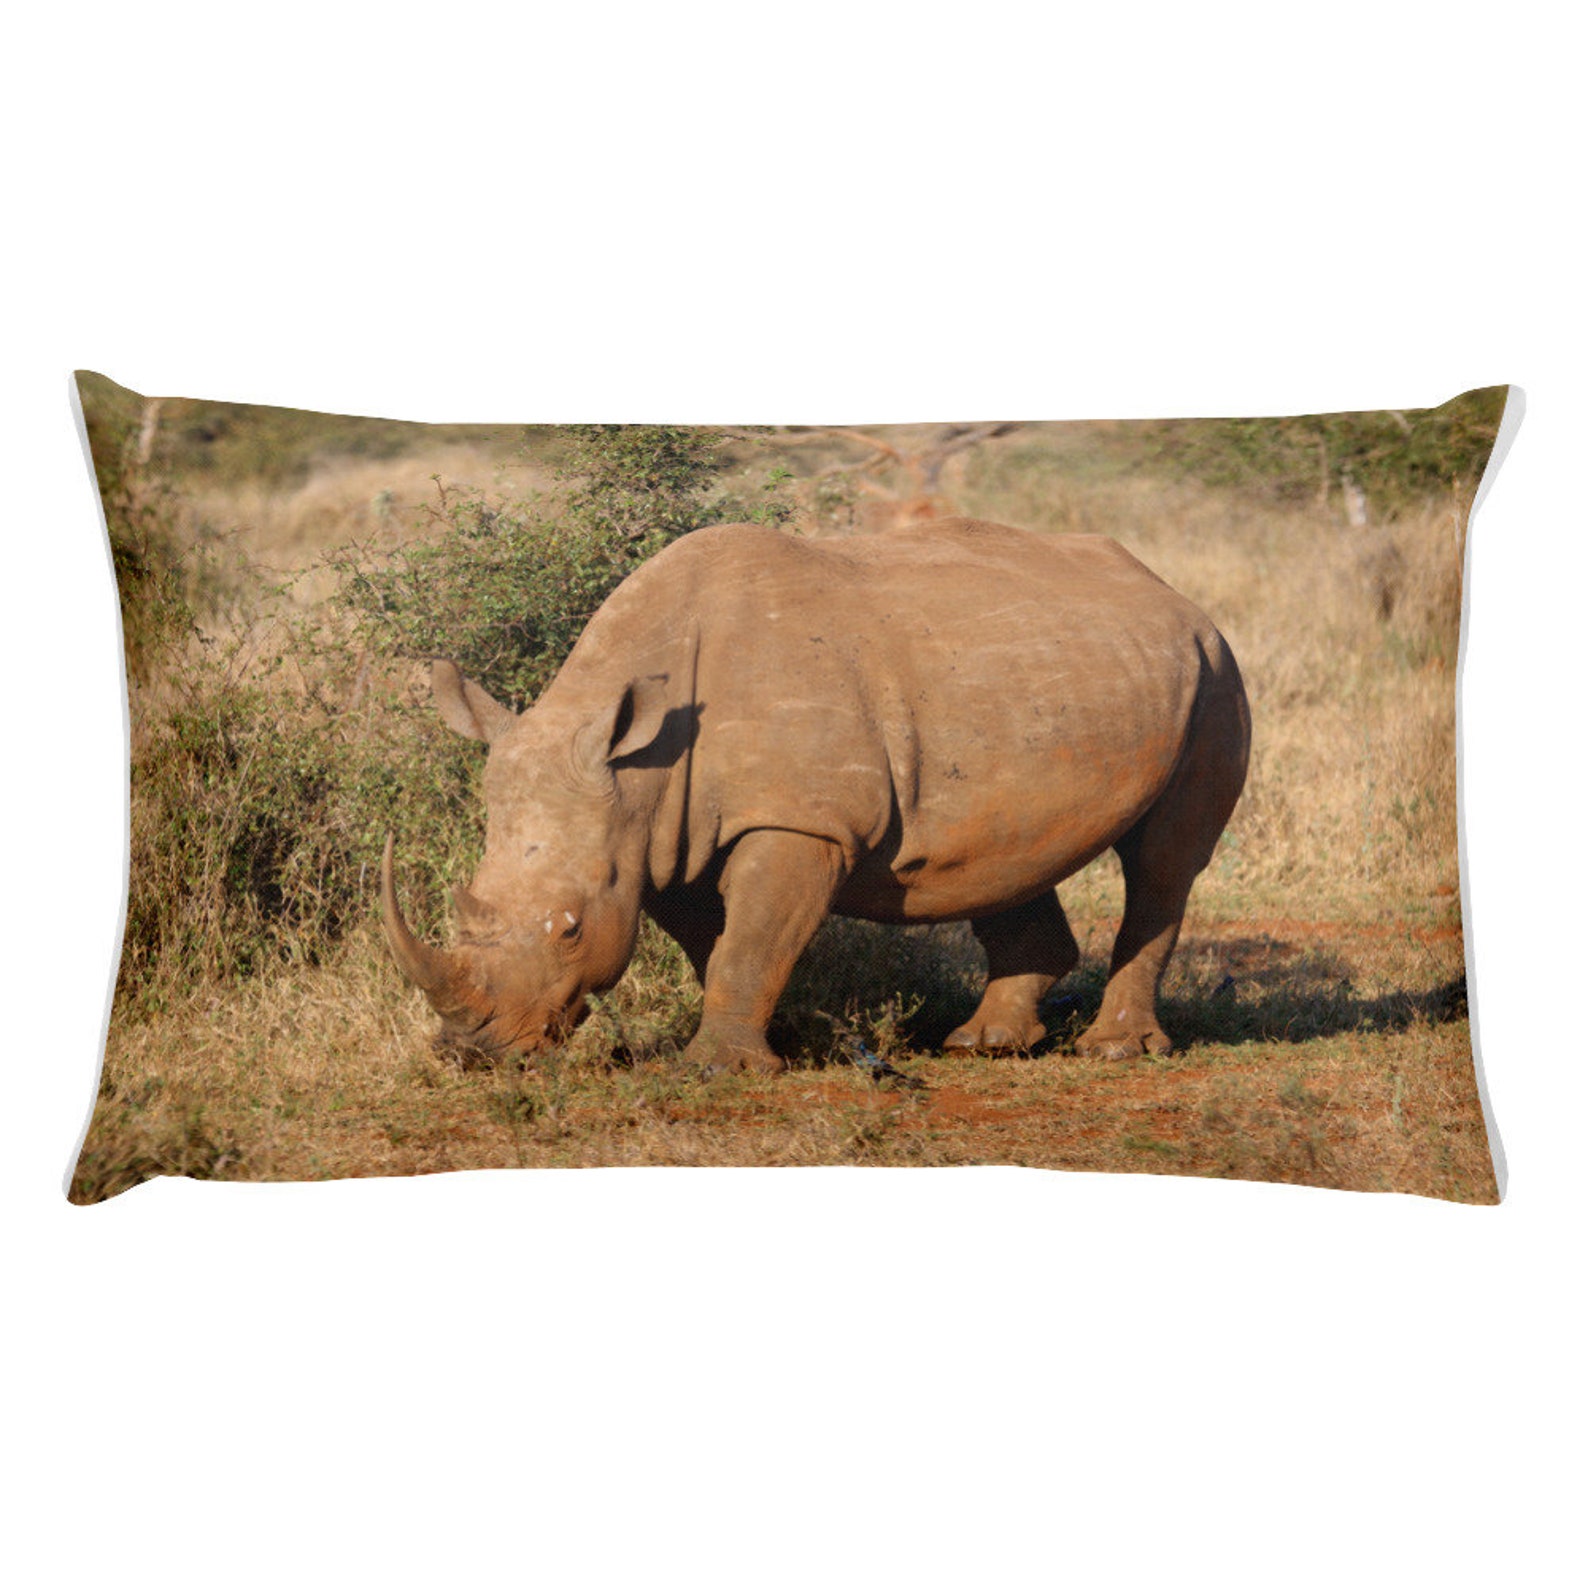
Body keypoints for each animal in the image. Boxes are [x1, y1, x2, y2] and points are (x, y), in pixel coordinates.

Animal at [381, 517, 1250, 1071]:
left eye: (569, 930)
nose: (473, 1052)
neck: (640, 769)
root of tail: (1171, 592)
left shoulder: (801, 821)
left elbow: (750, 939)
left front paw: (714, 1071)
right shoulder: (664, 838)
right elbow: (722, 944)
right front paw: (780, 1046)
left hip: (1213, 669)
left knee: (1163, 864)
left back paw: (1114, 1051)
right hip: (1050, 679)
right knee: (1007, 850)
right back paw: (986, 1045)